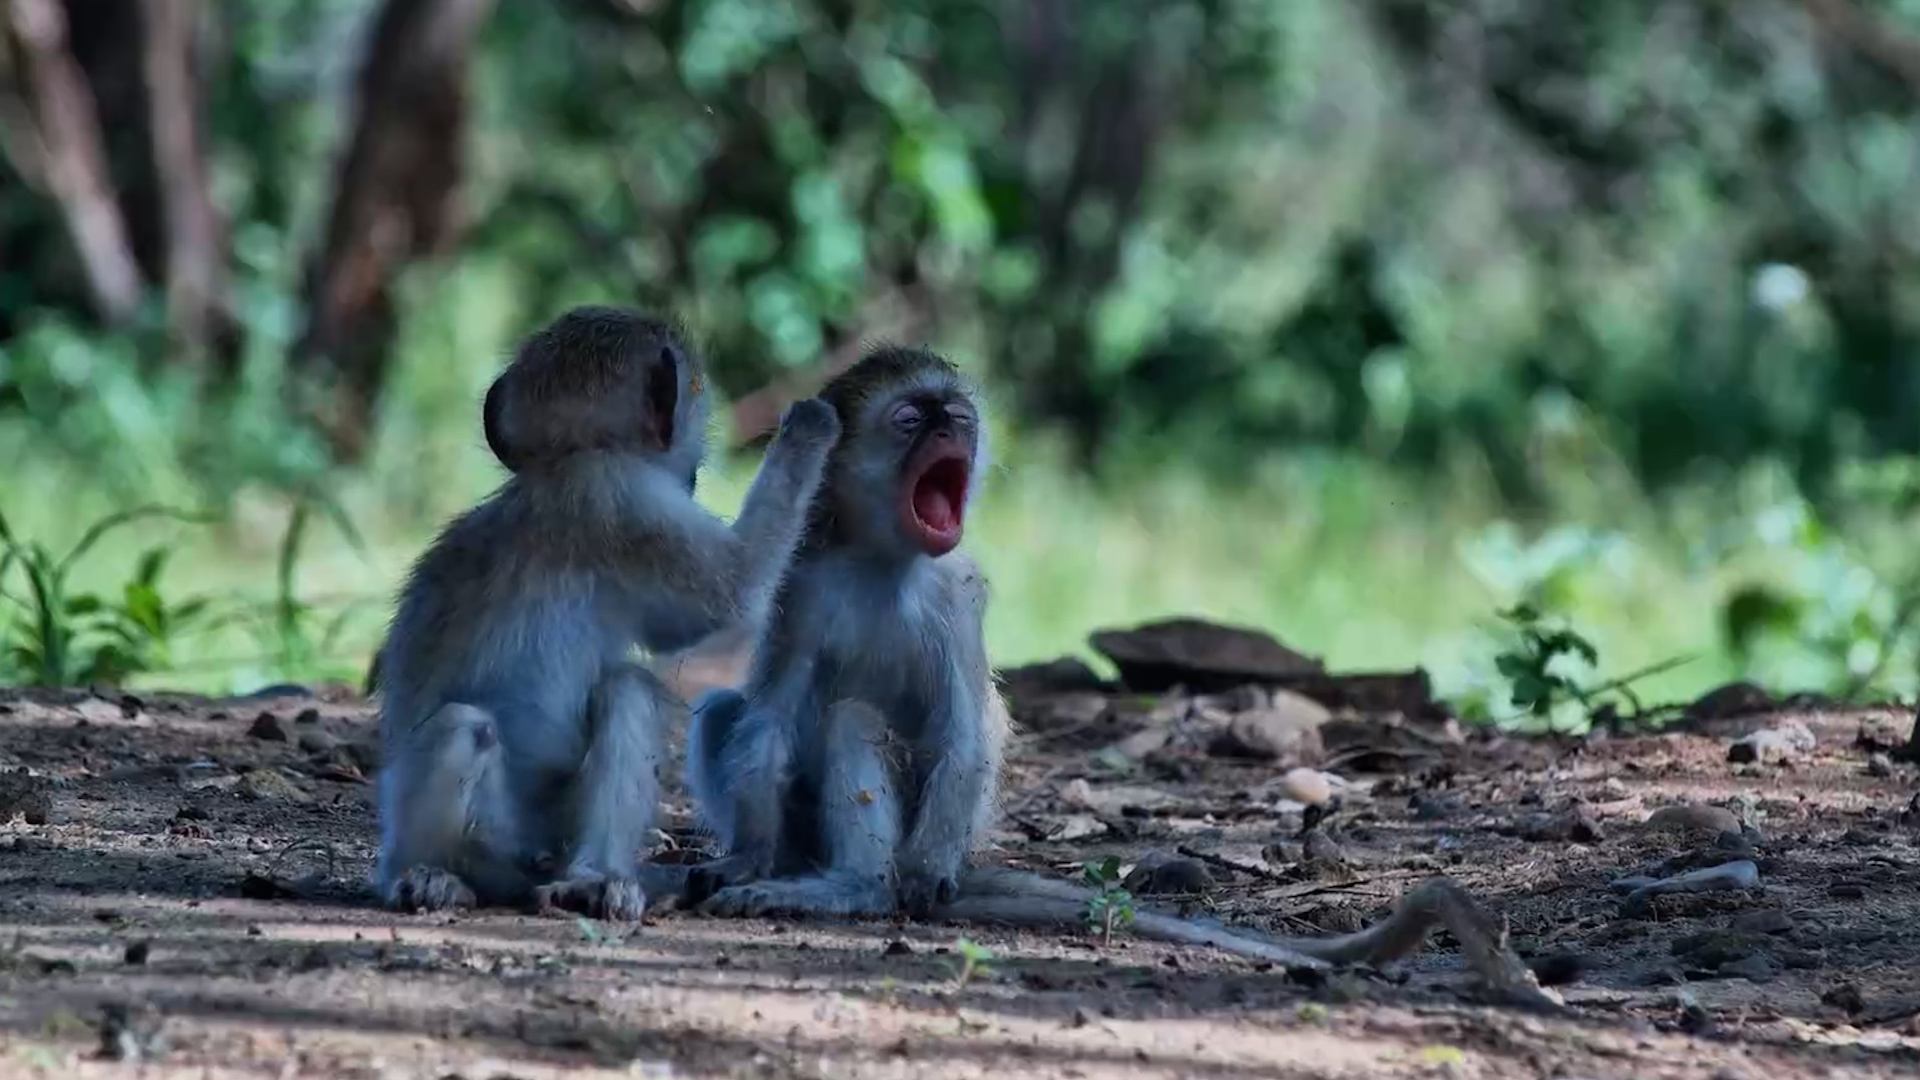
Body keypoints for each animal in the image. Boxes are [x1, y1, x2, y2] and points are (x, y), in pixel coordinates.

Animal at [371, 306, 841, 923]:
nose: (694, 471)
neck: (564, 462)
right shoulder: (622, 495)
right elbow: (731, 593)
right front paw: (812, 425)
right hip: (473, 834)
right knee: (465, 727)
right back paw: (437, 875)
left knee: (624, 691)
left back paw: (590, 879)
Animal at [676, 345, 1555, 1009]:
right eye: (911, 417)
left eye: (952, 414)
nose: (952, 424)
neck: (882, 559)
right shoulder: (801, 584)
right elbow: (769, 712)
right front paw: (744, 860)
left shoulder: (955, 593)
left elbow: (968, 731)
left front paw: (915, 873)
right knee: (729, 712)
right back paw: (798, 872)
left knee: (853, 721)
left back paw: (864, 886)